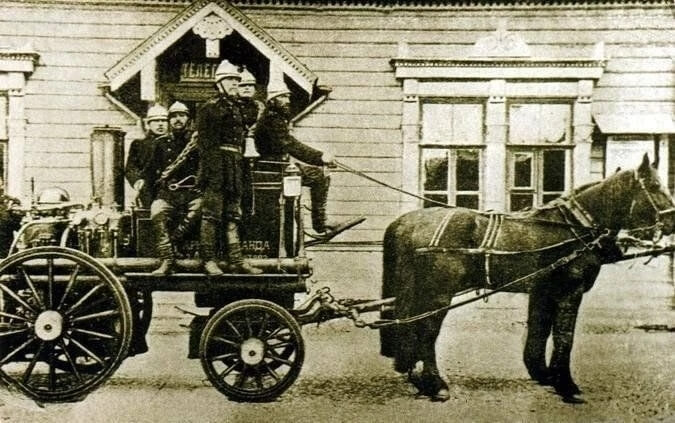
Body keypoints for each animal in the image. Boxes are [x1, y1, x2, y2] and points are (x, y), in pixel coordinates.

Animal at [379, 154, 675, 403]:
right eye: (655, 186)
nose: (672, 223)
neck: (574, 227)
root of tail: (406, 222)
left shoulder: (543, 290)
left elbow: (540, 329)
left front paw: (543, 374)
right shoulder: (570, 290)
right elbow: (564, 337)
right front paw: (566, 385)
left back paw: (418, 378)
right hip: (438, 293)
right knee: (426, 330)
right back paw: (435, 384)